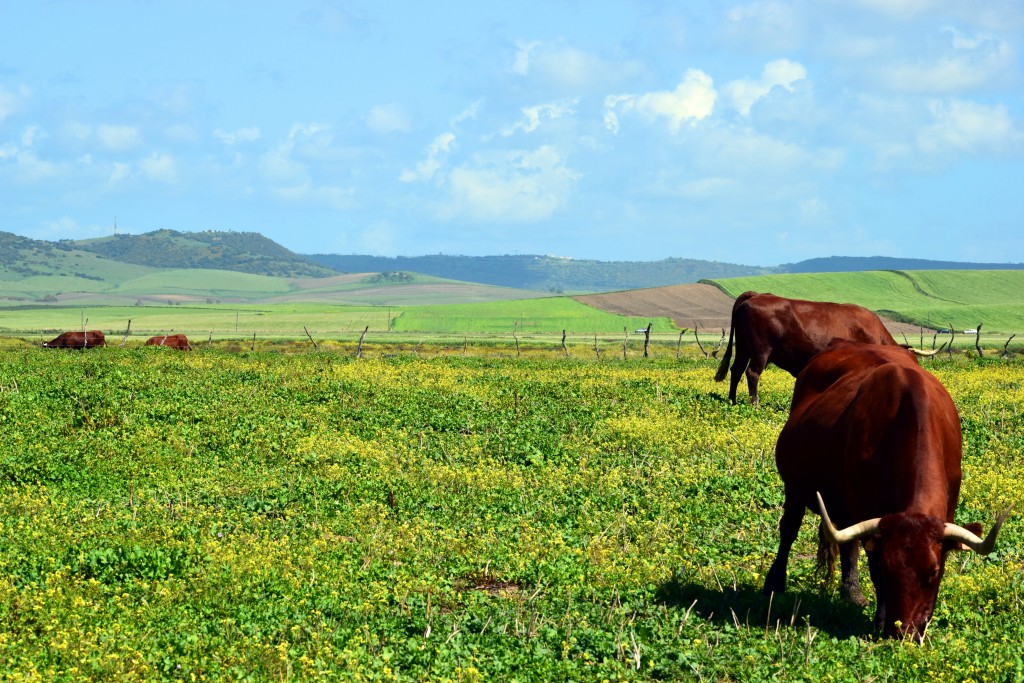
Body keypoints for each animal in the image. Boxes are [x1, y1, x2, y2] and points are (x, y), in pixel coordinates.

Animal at [716, 290, 933, 405]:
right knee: (751, 373)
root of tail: (757, 294)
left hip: (743, 348)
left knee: (736, 370)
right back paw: (755, 404)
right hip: (761, 351)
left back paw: (732, 401)